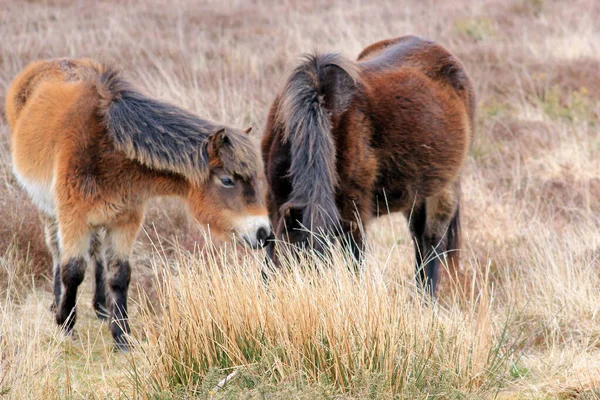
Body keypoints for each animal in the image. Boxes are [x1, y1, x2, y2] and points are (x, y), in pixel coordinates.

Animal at [5, 57, 270, 348]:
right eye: (226, 180)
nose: (263, 232)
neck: (108, 150)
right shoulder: (73, 218)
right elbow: (73, 271)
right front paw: (65, 325)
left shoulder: (125, 221)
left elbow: (120, 275)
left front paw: (121, 336)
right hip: (47, 209)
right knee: (55, 250)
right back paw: (57, 302)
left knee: (96, 252)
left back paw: (101, 307)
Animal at [262, 36, 474, 294]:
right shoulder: (276, 203)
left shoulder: (354, 214)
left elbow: (355, 265)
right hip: (414, 197)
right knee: (419, 242)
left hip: (444, 189)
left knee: (431, 245)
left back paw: (426, 299)